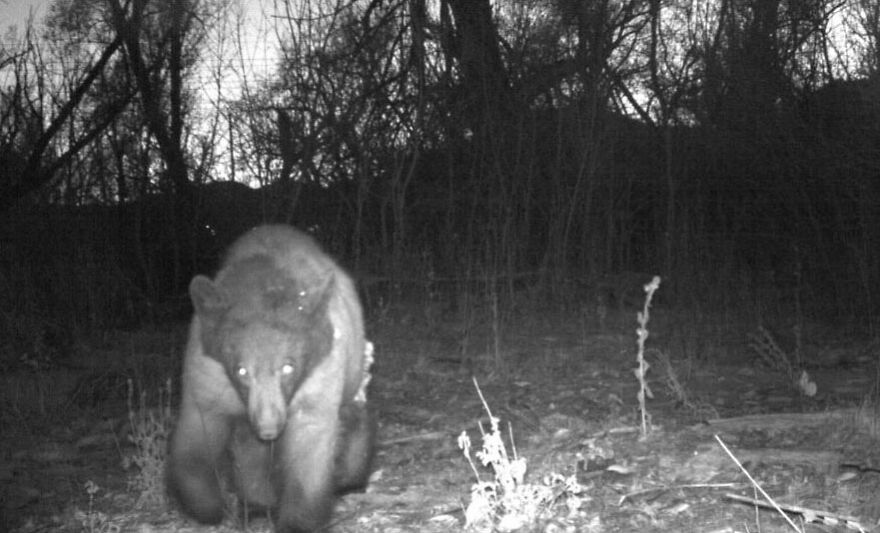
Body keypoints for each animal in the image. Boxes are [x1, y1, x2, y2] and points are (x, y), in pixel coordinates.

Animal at [167, 224, 375, 533]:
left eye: (288, 367)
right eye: (241, 370)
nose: (269, 428)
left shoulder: (320, 373)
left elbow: (309, 446)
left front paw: (298, 521)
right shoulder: (208, 373)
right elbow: (196, 436)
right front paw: (209, 506)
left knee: (352, 412)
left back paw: (351, 478)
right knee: (248, 447)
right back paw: (256, 504)